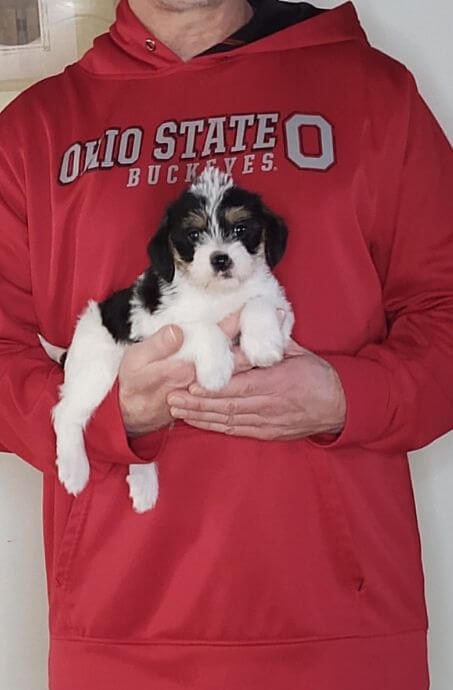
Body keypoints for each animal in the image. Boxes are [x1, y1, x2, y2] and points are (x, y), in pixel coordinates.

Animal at [45, 167, 294, 510]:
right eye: (194, 235)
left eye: (241, 228)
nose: (220, 259)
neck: (217, 294)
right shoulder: (158, 327)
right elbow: (199, 327)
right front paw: (216, 367)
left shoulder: (283, 312)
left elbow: (258, 302)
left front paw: (262, 343)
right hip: (97, 369)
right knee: (65, 412)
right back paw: (74, 469)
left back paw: (143, 485)